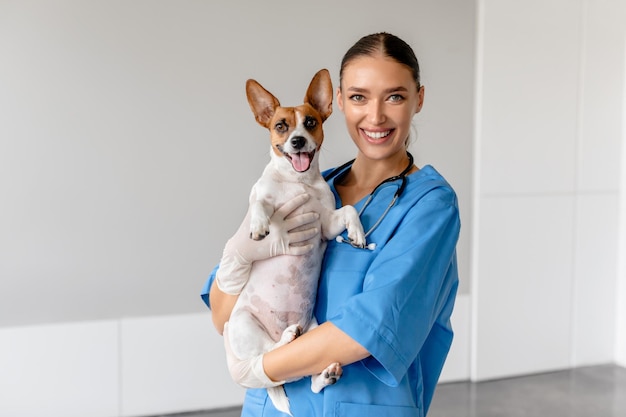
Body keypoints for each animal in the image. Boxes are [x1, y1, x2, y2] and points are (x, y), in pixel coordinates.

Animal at [223, 68, 366, 412]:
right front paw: (259, 225)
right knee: (268, 355)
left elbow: (349, 210)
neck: (297, 181)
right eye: (280, 126)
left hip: (315, 328)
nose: (297, 140)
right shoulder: (264, 197)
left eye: (311, 121)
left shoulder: (325, 224)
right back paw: (286, 337)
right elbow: (260, 203)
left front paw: (357, 233)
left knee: (301, 372)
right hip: (245, 324)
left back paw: (325, 374)